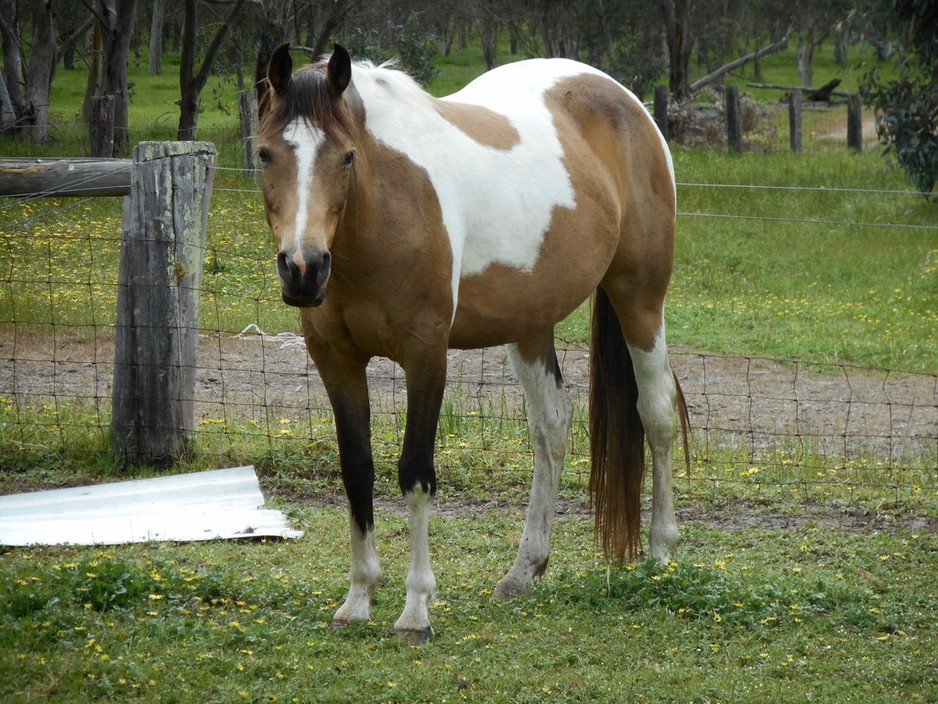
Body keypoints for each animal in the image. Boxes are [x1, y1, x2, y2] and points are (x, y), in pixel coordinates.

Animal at [256, 44, 688, 644]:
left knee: (657, 413)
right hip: (530, 323)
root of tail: (627, 102)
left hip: (640, 296)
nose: (303, 268)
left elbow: (415, 472)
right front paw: (358, 598)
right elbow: (357, 469)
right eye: (264, 153)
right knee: (552, 425)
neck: (385, 205)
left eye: (346, 157)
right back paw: (524, 570)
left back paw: (660, 554)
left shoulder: (426, 353)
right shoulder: (334, 357)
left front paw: (416, 611)